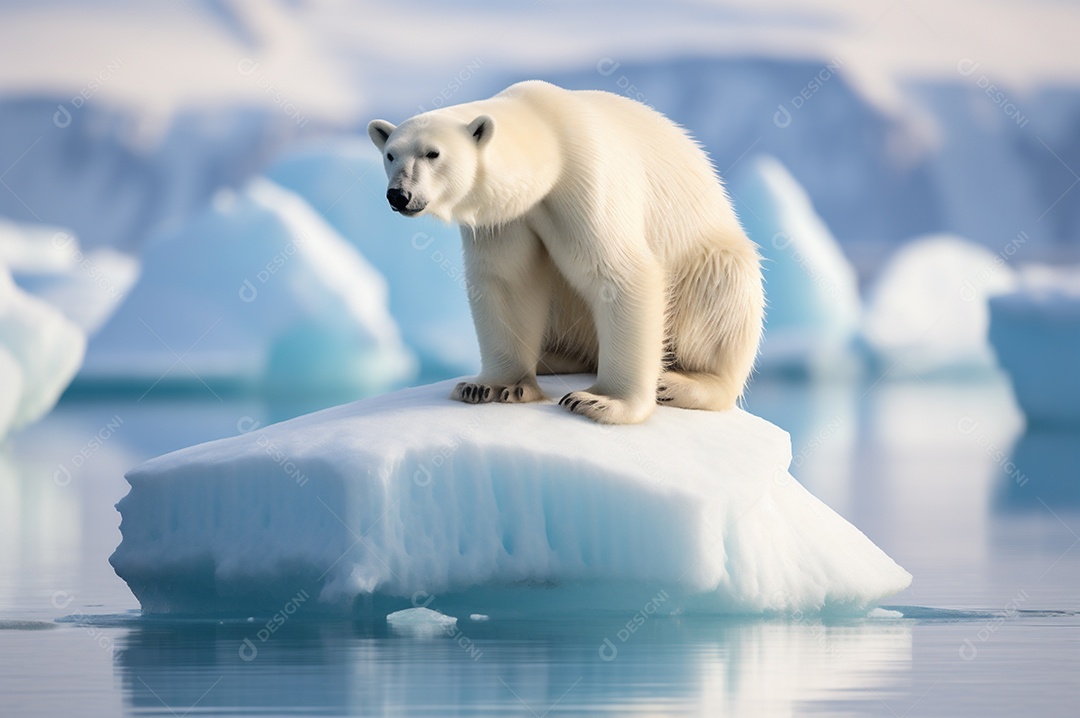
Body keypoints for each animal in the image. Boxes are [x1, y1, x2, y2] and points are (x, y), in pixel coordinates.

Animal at [368, 80, 763, 425]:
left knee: (721, 286)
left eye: (432, 153)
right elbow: (510, 280)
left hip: (711, 259)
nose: (398, 195)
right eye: (390, 154)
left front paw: (602, 401)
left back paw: (680, 382)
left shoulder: (587, 180)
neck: (550, 138)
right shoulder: (506, 218)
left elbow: (619, 273)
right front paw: (492, 387)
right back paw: (553, 358)